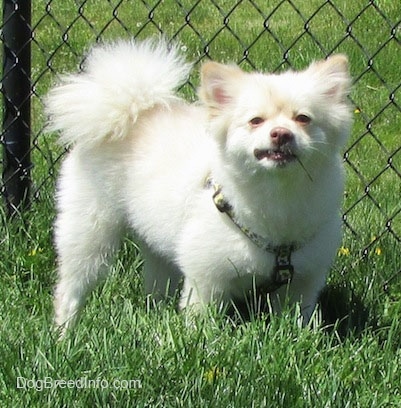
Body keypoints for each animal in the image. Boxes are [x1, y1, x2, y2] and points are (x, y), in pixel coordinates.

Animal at [47, 37, 352, 334]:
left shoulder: (303, 281)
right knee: (72, 288)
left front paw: (296, 337)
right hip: (91, 233)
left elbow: (296, 320)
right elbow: (201, 321)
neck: (278, 196)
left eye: (303, 118)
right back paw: (64, 333)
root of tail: (133, 110)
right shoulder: (206, 278)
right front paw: (200, 341)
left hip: (155, 238)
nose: (281, 134)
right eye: (255, 121)